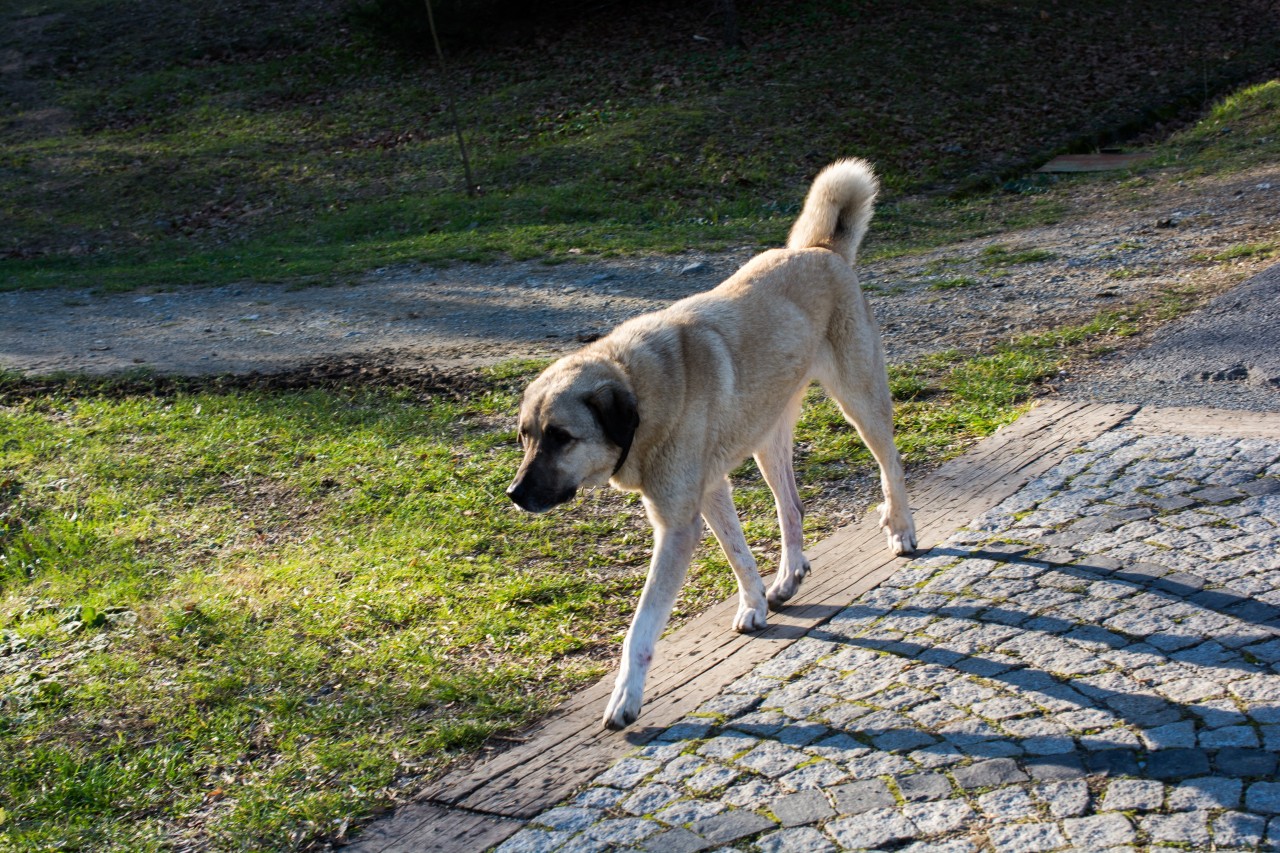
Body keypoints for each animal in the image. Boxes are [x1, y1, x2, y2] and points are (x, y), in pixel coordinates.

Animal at [504, 157, 916, 722]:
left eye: (561, 437)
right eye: (526, 437)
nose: (514, 495)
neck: (641, 389)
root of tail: (820, 250)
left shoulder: (677, 525)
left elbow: (641, 626)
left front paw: (627, 696)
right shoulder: (712, 491)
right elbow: (739, 554)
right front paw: (756, 603)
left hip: (861, 402)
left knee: (891, 465)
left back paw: (901, 529)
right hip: (768, 441)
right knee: (792, 508)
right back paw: (789, 575)